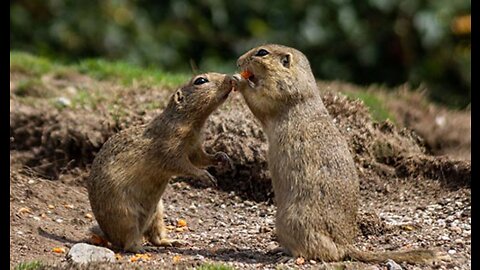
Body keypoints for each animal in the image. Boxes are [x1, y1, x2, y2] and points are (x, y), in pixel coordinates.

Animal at [88, 72, 236, 253]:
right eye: (200, 81)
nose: (231, 78)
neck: (191, 123)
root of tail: (109, 236)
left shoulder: (195, 148)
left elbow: (202, 158)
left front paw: (223, 158)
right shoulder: (170, 148)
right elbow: (184, 165)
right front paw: (205, 176)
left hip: (158, 213)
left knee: (155, 237)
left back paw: (173, 242)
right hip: (126, 215)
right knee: (128, 242)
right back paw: (139, 249)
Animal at [234, 43, 444, 264]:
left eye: (262, 52)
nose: (238, 62)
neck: (301, 82)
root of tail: (345, 246)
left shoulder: (276, 93)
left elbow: (258, 100)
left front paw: (238, 79)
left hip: (290, 221)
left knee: (312, 252)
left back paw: (287, 256)